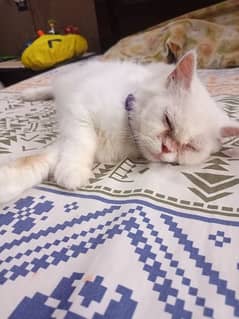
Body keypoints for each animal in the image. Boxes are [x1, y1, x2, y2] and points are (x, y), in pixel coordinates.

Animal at [0, 51, 239, 204]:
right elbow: (81, 142)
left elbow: (38, 161)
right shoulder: (78, 112)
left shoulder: (69, 134)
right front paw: (73, 171)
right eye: (168, 121)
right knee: (51, 88)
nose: (167, 149)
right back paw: (30, 94)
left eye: (190, 147)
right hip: (66, 83)